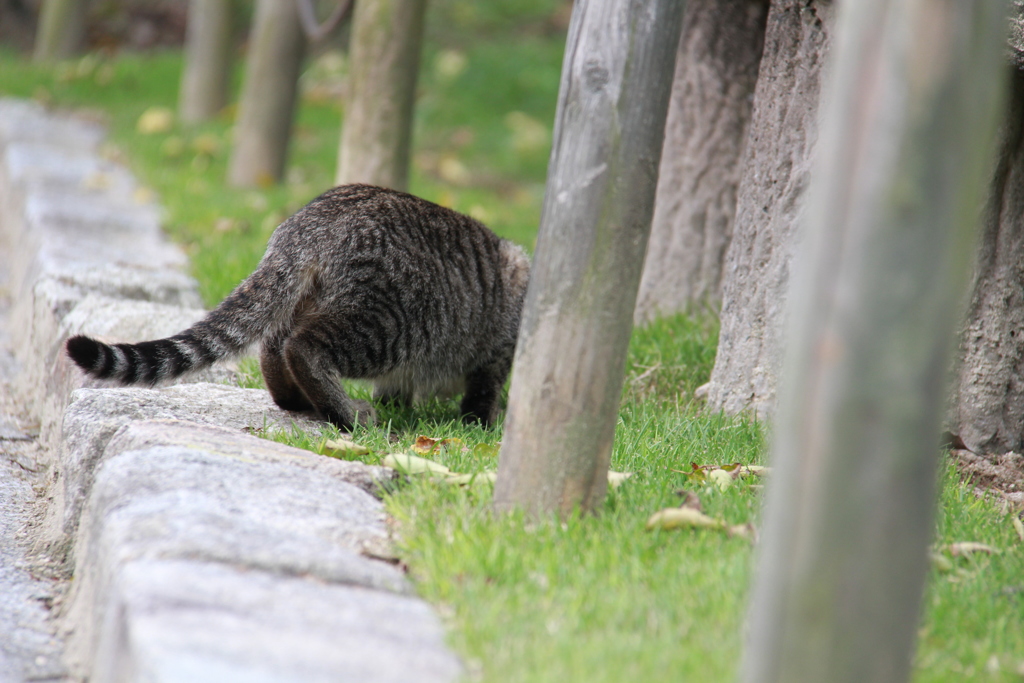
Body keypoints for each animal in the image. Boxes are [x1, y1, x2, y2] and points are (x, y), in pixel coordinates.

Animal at [66, 184, 528, 430]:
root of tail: (308, 224)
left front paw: (401, 404)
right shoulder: (499, 351)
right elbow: (482, 394)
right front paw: (484, 424)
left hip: (309, 302)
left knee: (273, 344)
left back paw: (294, 397)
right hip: (391, 323)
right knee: (303, 346)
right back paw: (343, 411)